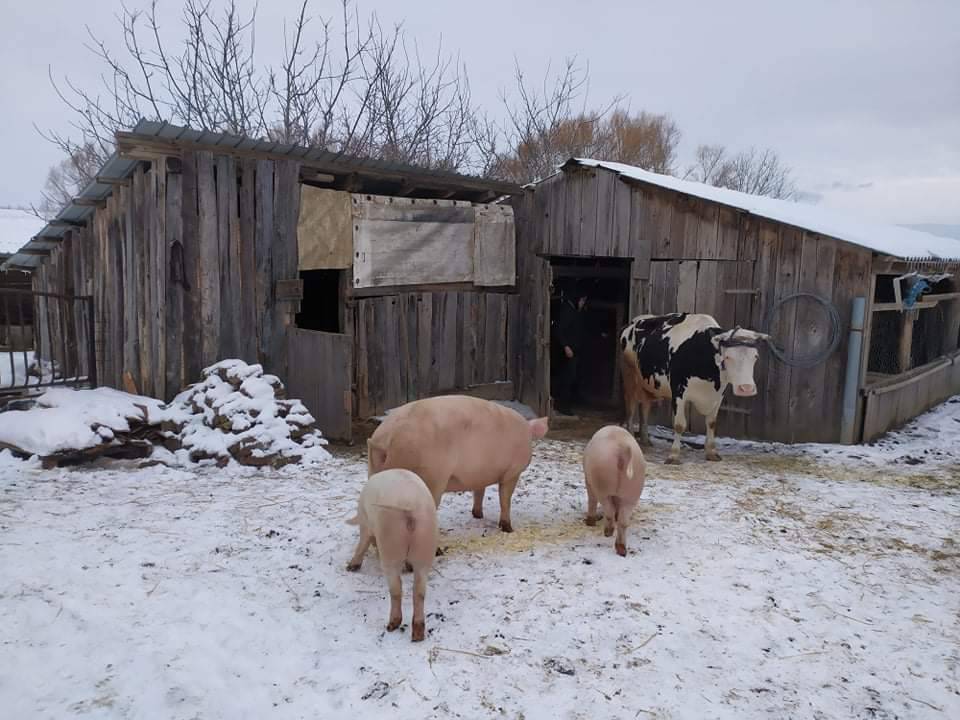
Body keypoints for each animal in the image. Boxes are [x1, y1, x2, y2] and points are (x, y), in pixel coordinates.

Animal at [344, 470, 438, 644]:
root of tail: (410, 508)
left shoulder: (366, 525)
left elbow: (363, 543)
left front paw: (351, 567)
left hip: (390, 546)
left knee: (396, 589)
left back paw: (391, 625)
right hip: (425, 544)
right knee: (419, 590)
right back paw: (417, 635)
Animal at [366, 396, 548, 532]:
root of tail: (385, 437)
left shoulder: (479, 474)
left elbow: (479, 492)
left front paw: (478, 515)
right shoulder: (512, 472)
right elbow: (505, 499)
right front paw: (508, 529)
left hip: (374, 471)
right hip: (428, 477)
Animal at [580, 428, 648, 556]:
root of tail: (622, 448)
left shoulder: (588, 480)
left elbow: (591, 499)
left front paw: (590, 522)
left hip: (602, 485)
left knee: (608, 510)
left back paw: (607, 532)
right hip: (633, 490)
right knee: (623, 521)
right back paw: (621, 550)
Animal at [620, 314, 768, 462]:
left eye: (755, 356)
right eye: (728, 357)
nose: (746, 388)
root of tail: (637, 320)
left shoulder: (718, 394)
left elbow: (711, 423)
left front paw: (711, 452)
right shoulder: (678, 391)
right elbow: (679, 424)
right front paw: (674, 455)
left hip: (647, 384)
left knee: (645, 407)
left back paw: (645, 440)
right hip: (629, 376)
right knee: (630, 407)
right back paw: (631, 437)